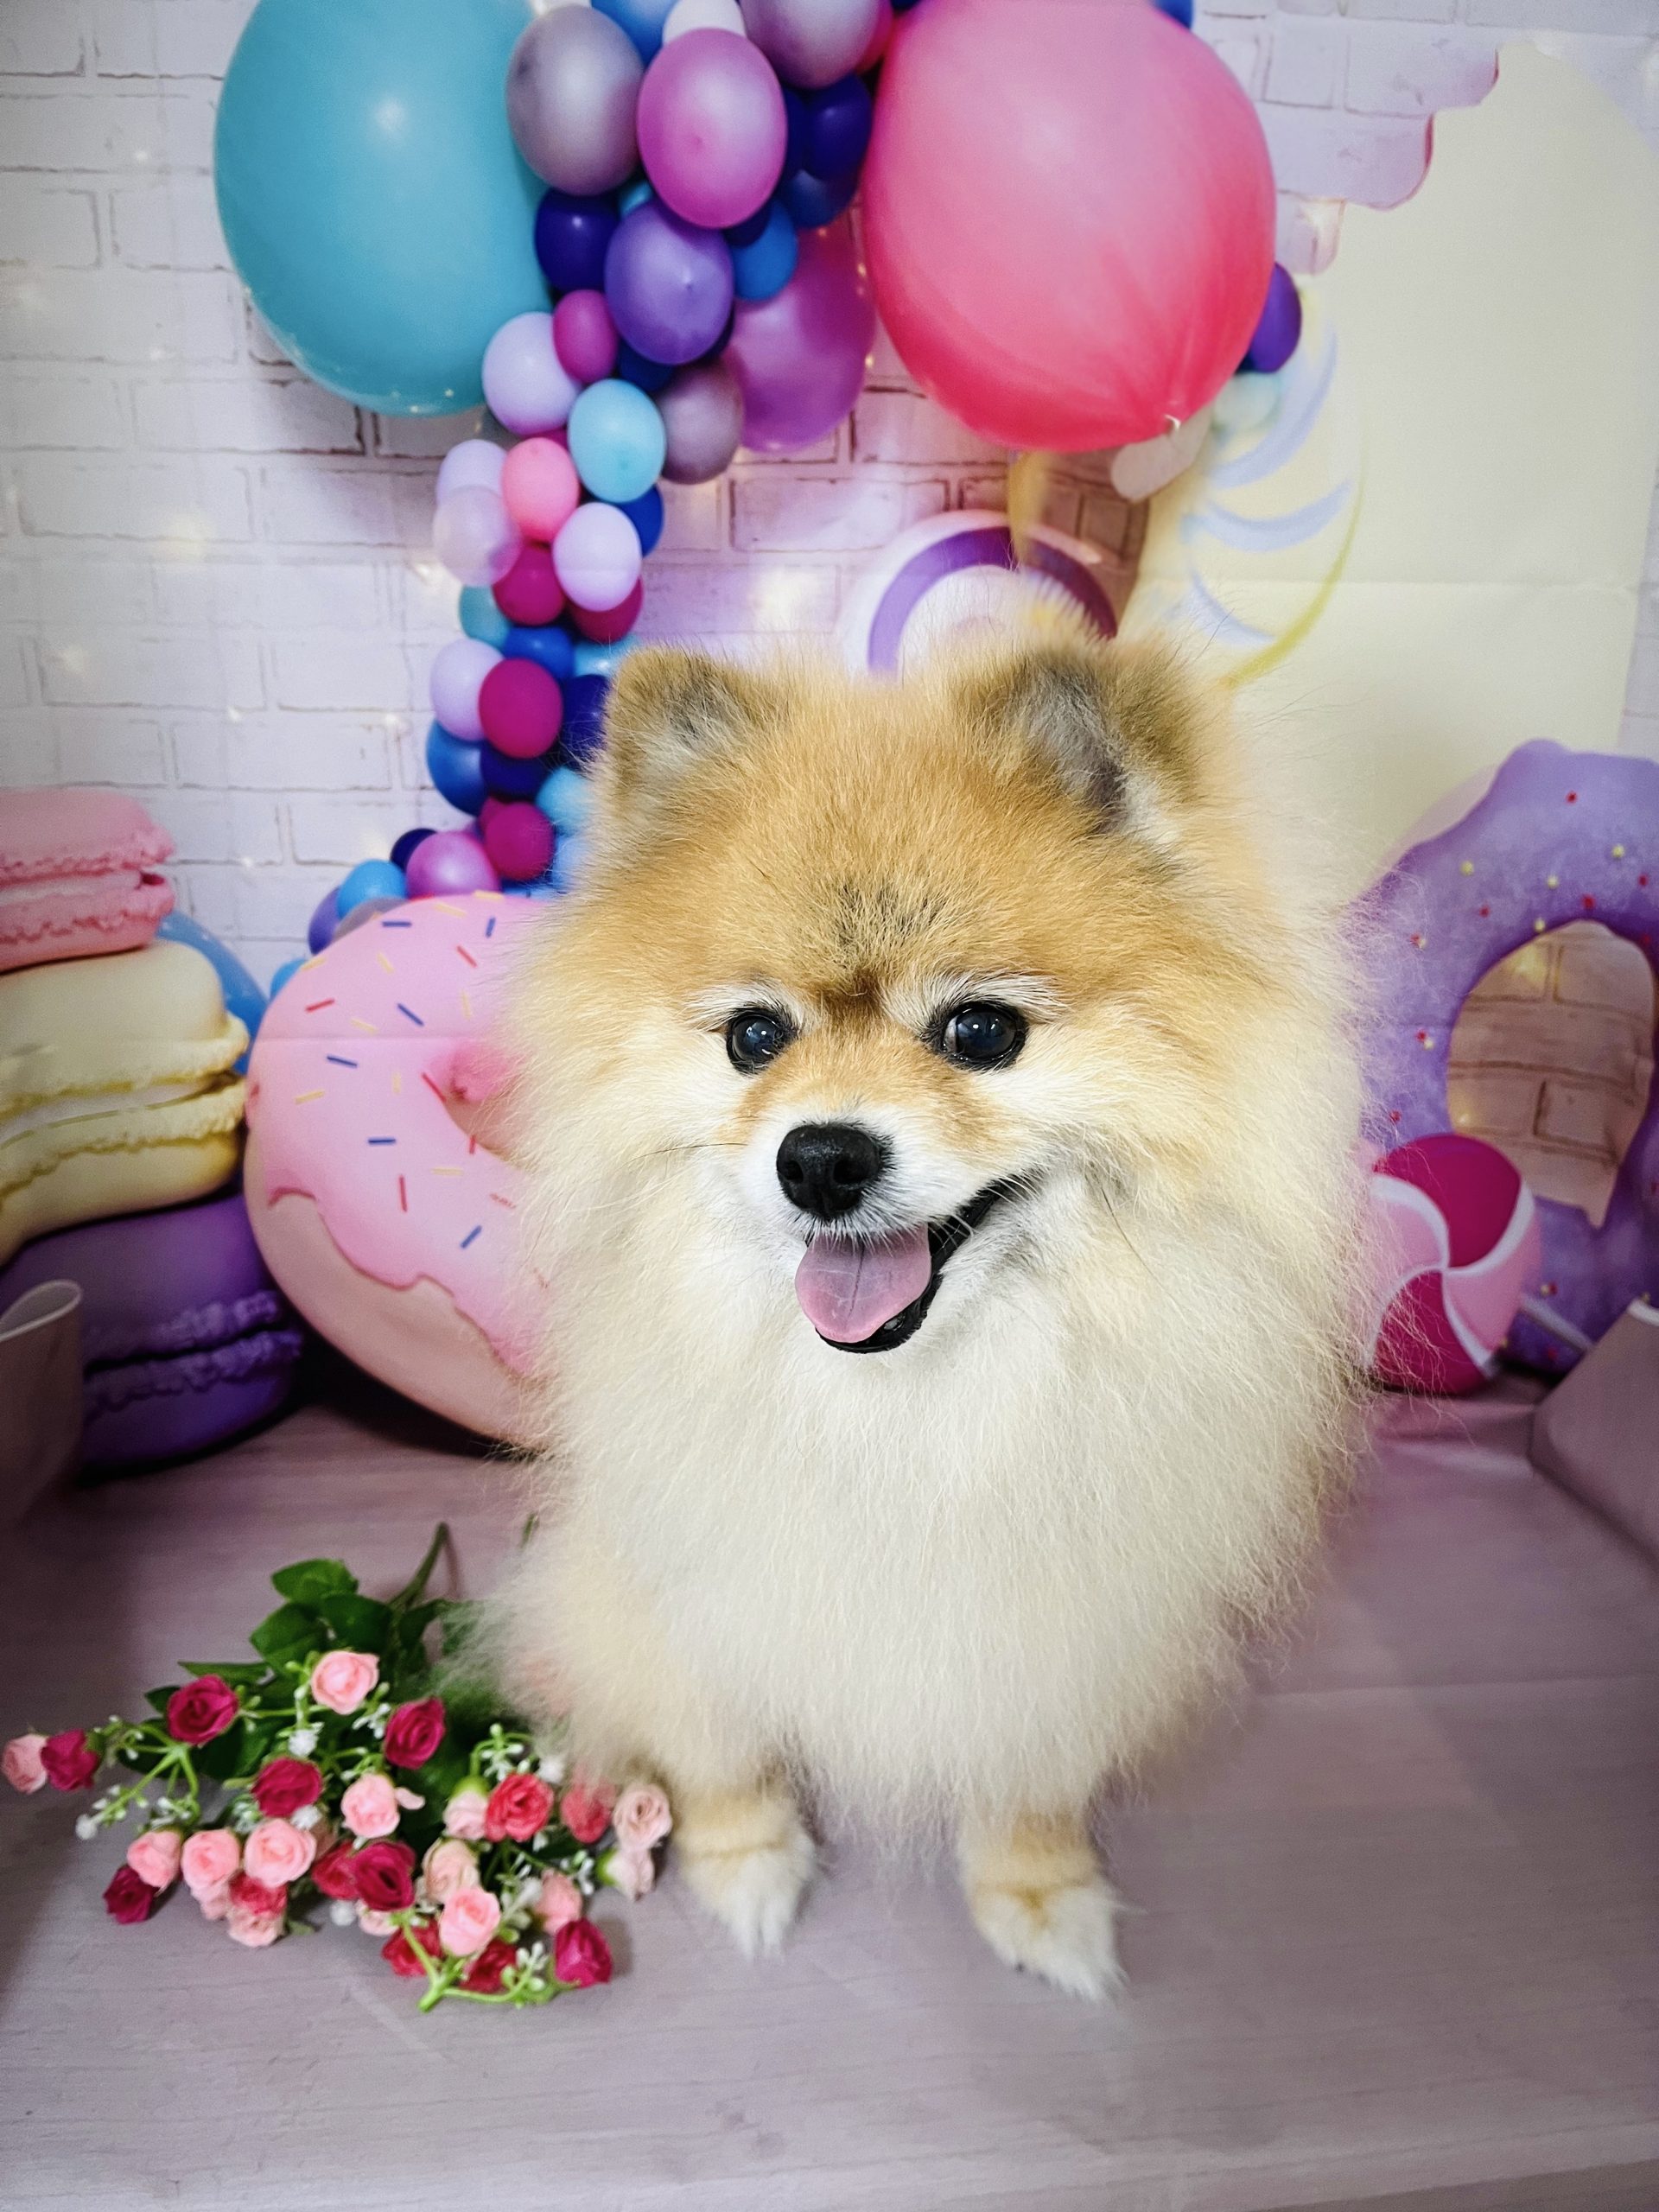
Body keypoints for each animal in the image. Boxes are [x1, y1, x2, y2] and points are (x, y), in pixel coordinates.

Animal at [495, 625, 1364, 1998]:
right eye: (755, 1038)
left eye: (981, 1030)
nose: (820, 1157)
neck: (904, 1410)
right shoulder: (679, 1583)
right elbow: (718, 1741)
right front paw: (746, 1861)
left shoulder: (1060, 1624)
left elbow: (1032, 1775)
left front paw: (1038, 1892)